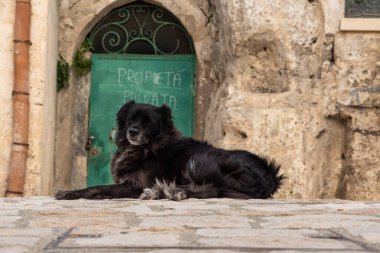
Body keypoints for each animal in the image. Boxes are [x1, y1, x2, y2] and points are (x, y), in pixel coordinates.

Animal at [55, 100, 282, 200]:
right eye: (130, 120)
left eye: (149, 122)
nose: (132, 132)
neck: (146, 149)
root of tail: (269, 175)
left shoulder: (134, 185)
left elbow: (97, 188)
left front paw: (68, 192)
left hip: (198, 160)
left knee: (209, 189)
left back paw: (168, 191)